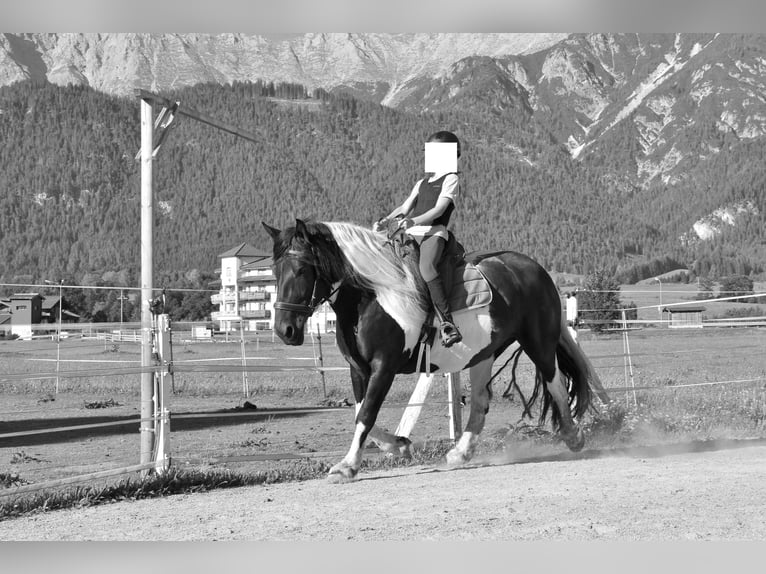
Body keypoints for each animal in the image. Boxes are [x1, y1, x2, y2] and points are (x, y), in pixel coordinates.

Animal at [260, 219, 608, 482]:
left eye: (302, 269)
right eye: (275, 271)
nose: (284, 330)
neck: (373, 296)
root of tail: (533, 268)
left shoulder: (383, 366)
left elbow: (367, 413)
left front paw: (347, 466)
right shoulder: (358, 368)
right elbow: (360, 412)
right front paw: (400, 445)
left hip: (538, 341)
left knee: (555, 384)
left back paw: (573, 436)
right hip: (484, 353)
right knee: (481, 401)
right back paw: (461, 452)